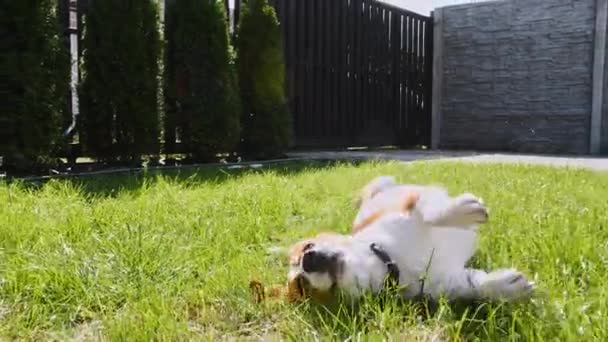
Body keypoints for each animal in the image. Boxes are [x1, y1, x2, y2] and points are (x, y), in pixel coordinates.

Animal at [282, 176, 536, 304]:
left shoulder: (412, 202)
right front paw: (506, 287)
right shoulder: (447, 284)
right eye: (302, 285)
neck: (390, 260)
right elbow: (474, 288)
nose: (308, 259)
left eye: (307, 246)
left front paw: (463, 211)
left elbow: (432, 212)